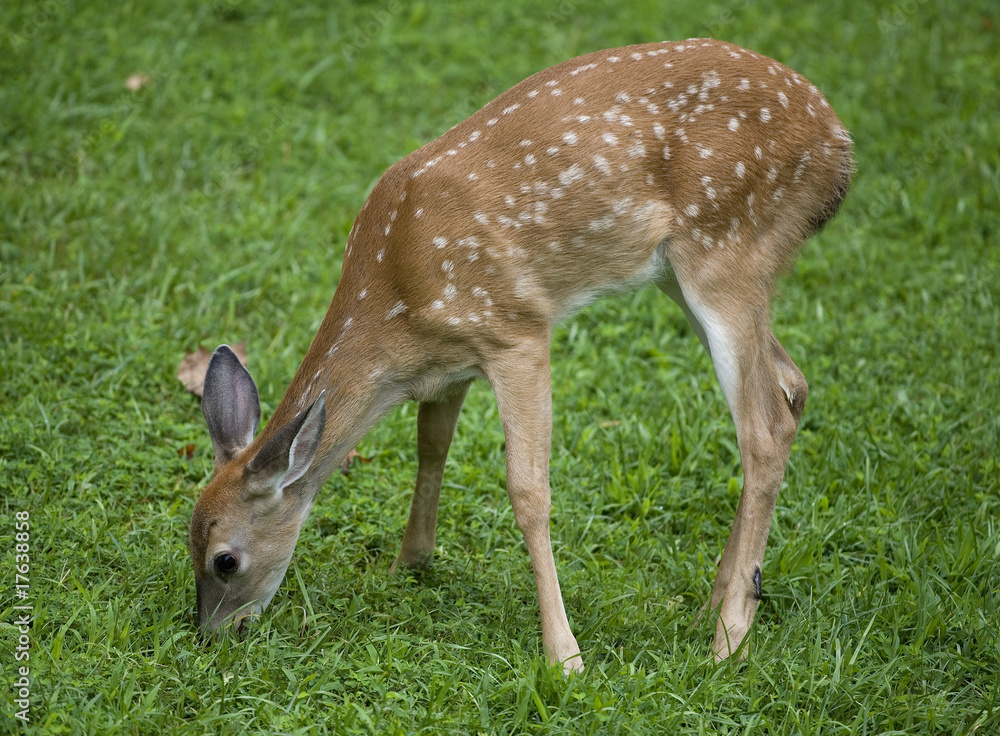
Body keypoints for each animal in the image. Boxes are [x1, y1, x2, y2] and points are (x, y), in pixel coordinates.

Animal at [188, 38, 853, 674]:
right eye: (188, 539)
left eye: (224, 560)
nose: (209, 636)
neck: (395, 304)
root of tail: (839, 145)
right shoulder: (449, 363)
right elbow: (431, 448)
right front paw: (408, 563)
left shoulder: (516, 331)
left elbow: (529, 491)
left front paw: (566, 658)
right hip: (689, 271)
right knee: (793, 386)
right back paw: (712, 606)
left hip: (728, 247)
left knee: (764, 427)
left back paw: (728, 639)